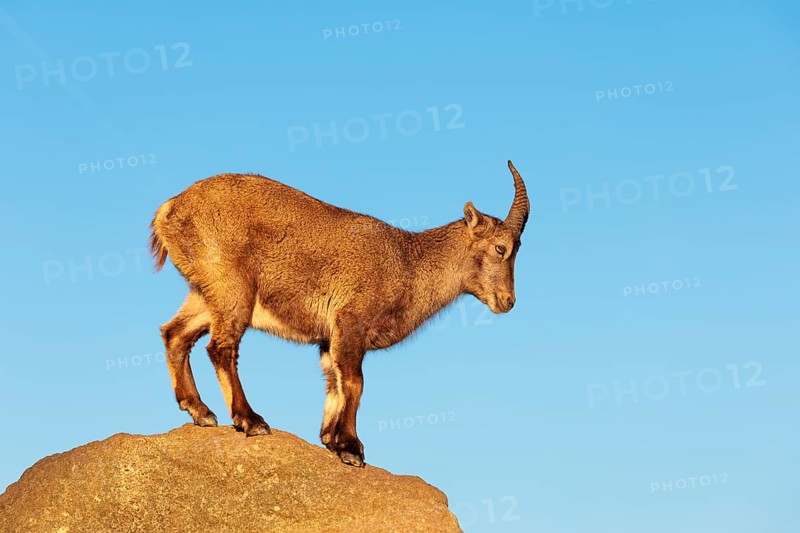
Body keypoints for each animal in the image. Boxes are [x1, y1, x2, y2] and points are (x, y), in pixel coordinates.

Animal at [150, 161, 530, 467]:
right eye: (501, 248)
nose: (507, 301)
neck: (409, 263)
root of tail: (170, 208)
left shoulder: (328, 338)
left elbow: (333, 381)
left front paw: (331, 439)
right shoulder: (351, 322)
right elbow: (355, 382)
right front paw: (351, 447)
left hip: (205, 292)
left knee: (175, 333)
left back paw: (199, 410)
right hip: (232, 288)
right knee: (220, 348)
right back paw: (249, 420)